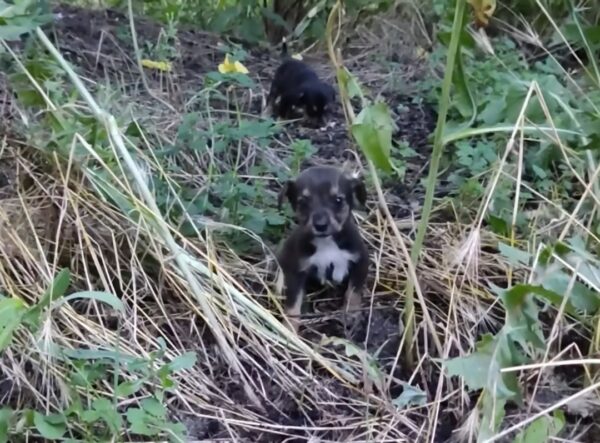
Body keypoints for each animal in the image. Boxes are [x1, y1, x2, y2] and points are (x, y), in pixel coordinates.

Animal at [274, 165, 368, 332]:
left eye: (338, 200)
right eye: (303, 202)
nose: (321, 225)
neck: (327, 242)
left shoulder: (361, 261)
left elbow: (353, 292)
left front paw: (351, 313)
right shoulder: (296, 272)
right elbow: (293, 306)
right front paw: (289, 329)